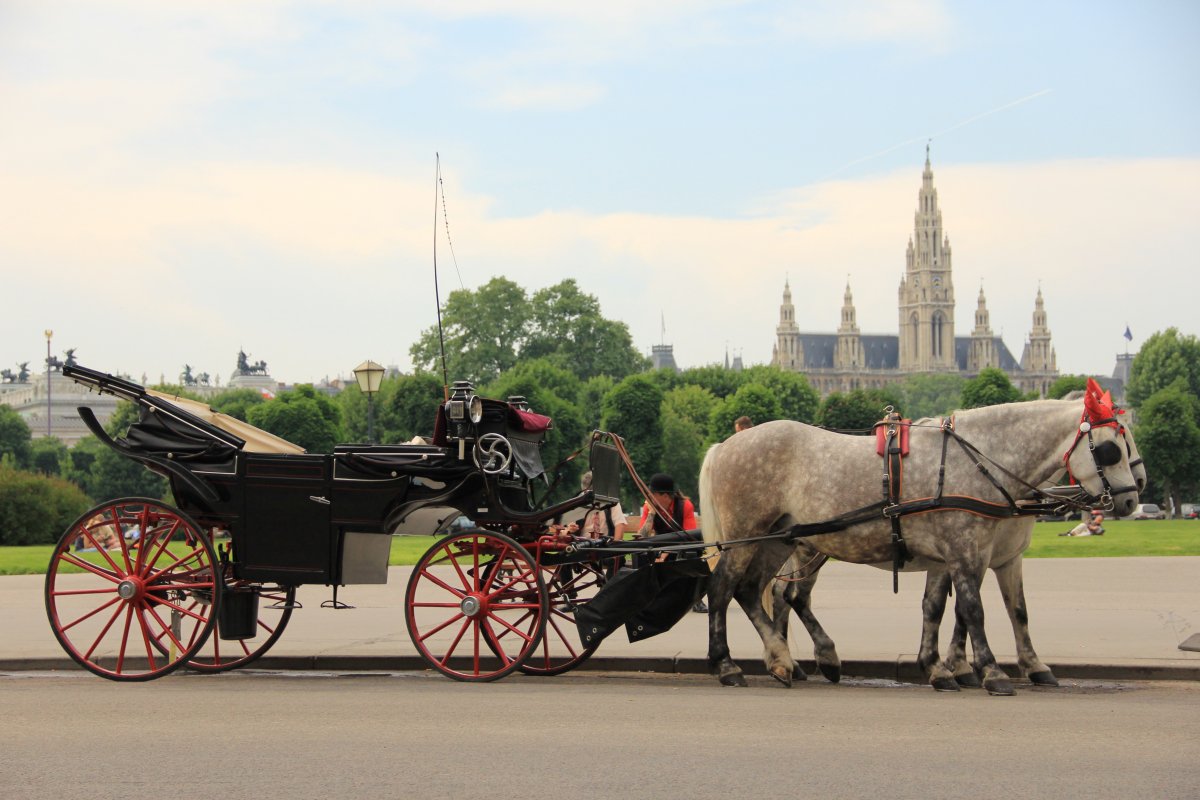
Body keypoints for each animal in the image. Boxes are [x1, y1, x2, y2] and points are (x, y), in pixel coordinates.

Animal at [700, 388, 1142, 695]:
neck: (977, 461)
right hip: (747, 538)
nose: (1132, 497)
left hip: (778, 540)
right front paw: (990, 671)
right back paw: (728, 665)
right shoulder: (966, 551)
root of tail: (724, 445)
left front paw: (941, 667)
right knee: (727, 589)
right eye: (1112, 448)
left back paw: (783, 659)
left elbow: (963, 609)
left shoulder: (968, 557)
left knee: (755, 591)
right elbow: (973, 610)